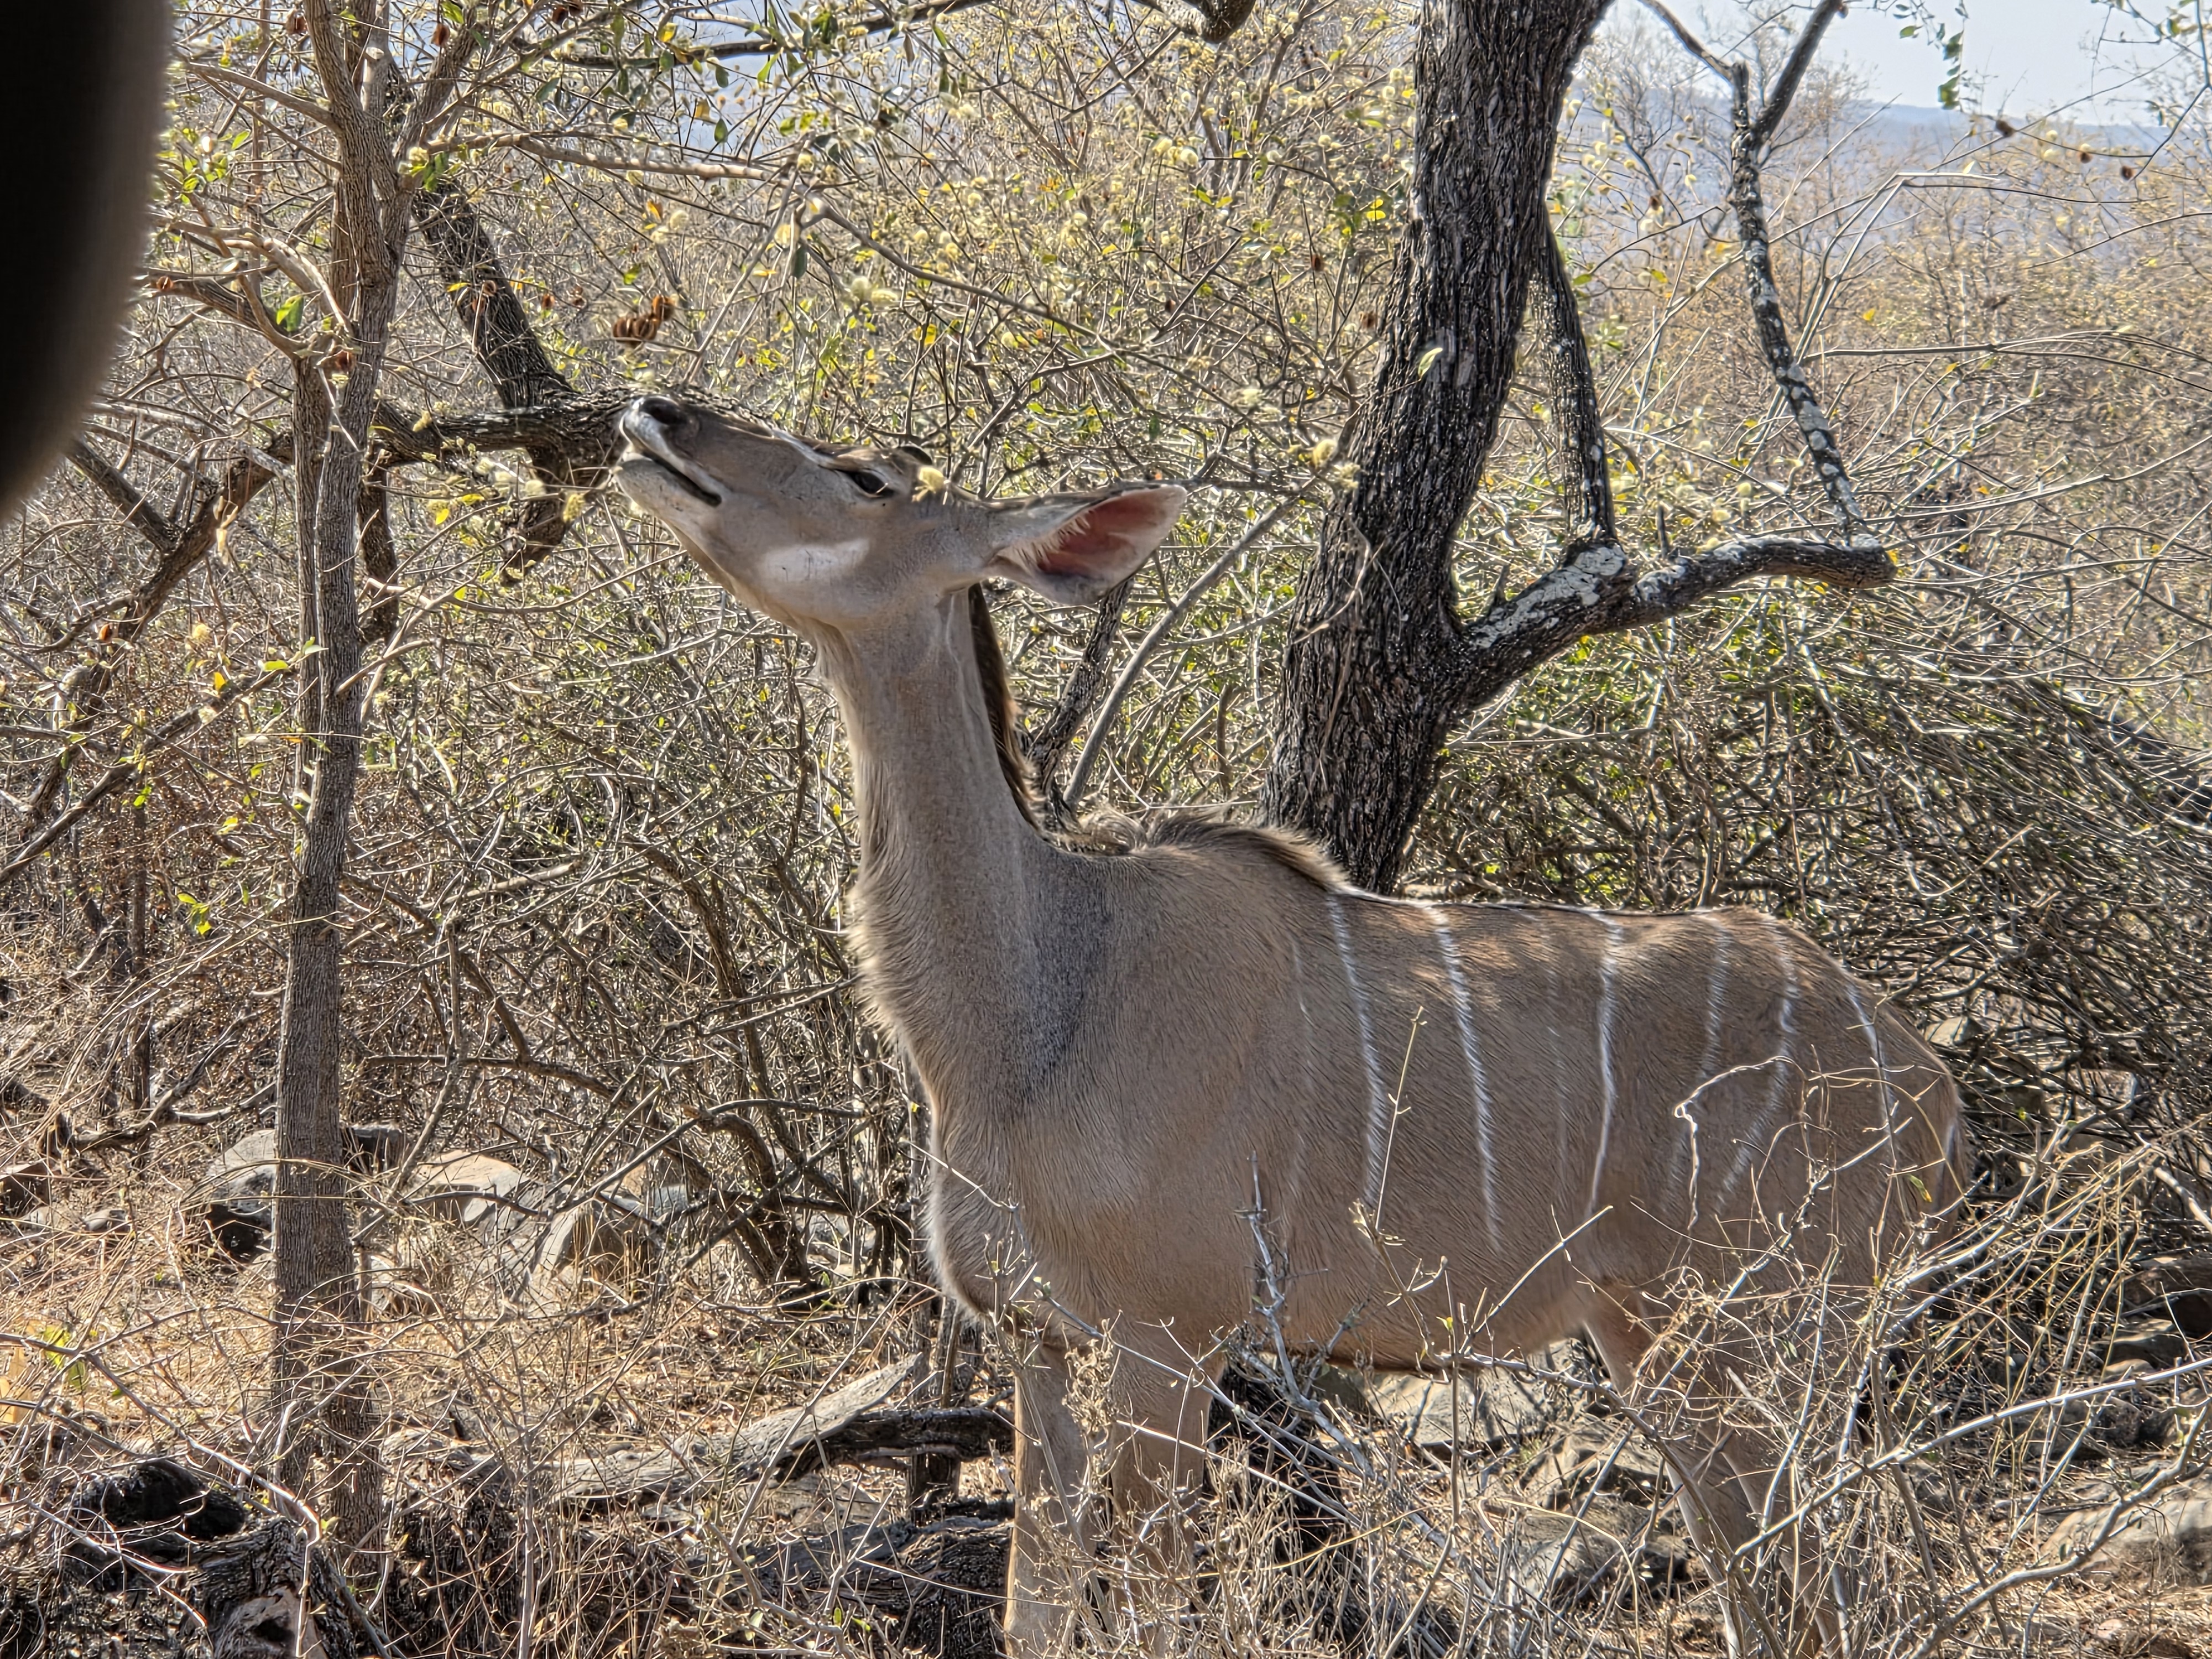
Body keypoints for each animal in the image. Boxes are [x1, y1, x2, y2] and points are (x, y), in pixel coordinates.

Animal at [614, 396, 1967, 1655]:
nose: (656, 414)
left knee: (1840, 1584)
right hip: (1652, 1340)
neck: (1040, 999)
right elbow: (1033, 1604)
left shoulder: (1169, 1337)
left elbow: (1151, 1606)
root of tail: (1930, 1087)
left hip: (1764, 1337)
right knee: (1764, 1579)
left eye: (865, 478)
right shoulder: (1038, 1343)